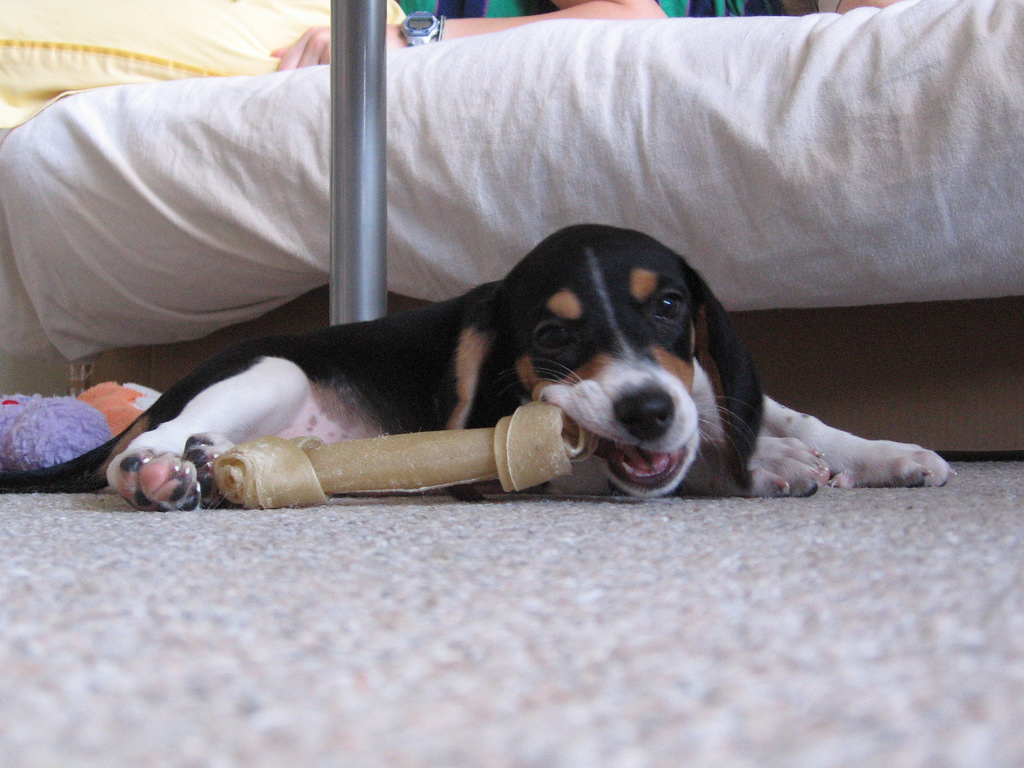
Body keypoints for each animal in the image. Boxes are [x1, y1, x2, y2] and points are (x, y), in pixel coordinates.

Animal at [0, 225, 946, 507]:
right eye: (553, 335)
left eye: (671, 306)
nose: (648, 412)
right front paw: (771, 467)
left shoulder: (706, 386)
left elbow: (788, 414)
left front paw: (888, 455)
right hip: (272, 370)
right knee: (139, 446)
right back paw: (163, 472)